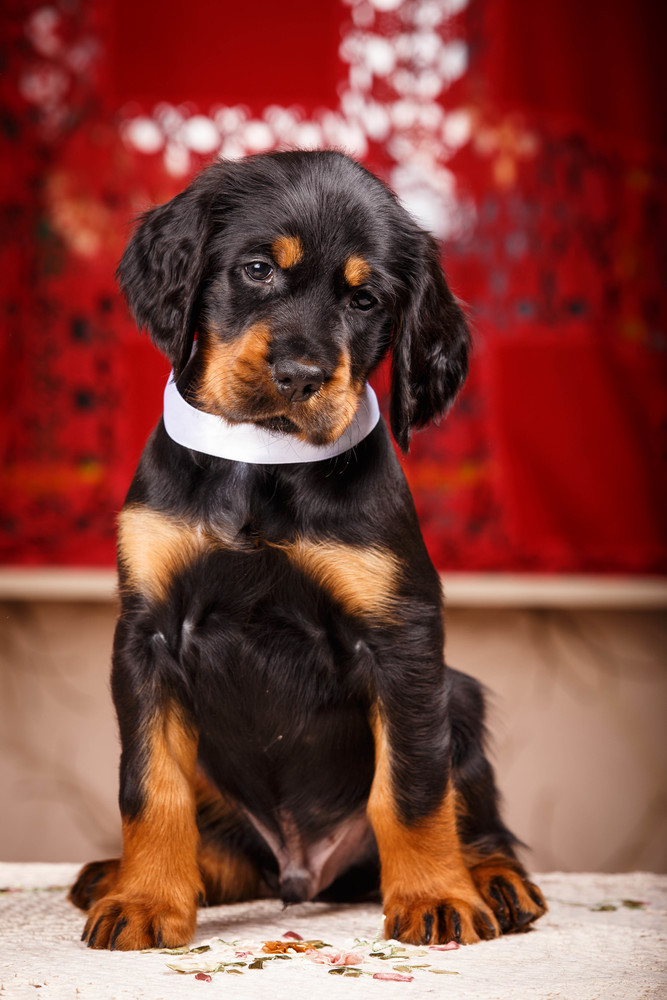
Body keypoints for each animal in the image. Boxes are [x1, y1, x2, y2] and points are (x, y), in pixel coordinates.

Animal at [69, 149, 546, 950]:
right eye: (258, 269)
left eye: (365, 300)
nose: (300, 377)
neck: (263, 460)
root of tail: (306, 872)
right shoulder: (145, 635)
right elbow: (150, 784)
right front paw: (144, 901)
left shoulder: (402, 636)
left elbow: (413, 787)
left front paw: (433, 896)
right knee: (235, 855)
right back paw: (145, 876)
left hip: (459, 696)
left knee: (472, 812)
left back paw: (493, 879)